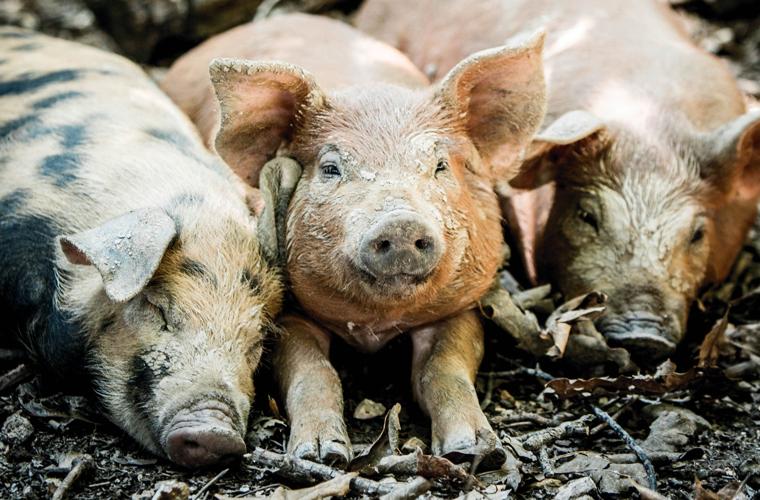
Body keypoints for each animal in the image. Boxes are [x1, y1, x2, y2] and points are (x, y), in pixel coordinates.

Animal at [161, 13, 547, 467]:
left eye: (439, 166)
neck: (374, 326)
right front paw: (320, 454)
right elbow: (314, 371)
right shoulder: (289, 312)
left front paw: (475, 449)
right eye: (331, 168)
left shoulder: (464, 305)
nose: (399, 222)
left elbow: (443, 367)